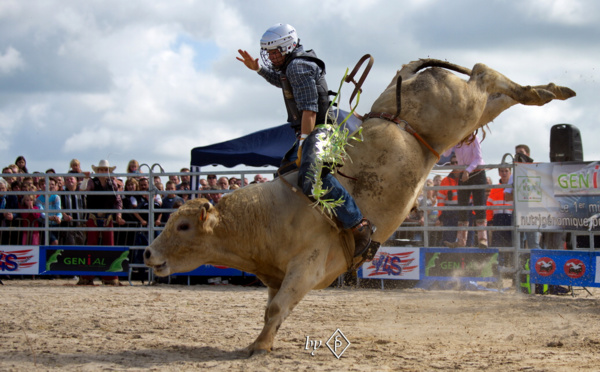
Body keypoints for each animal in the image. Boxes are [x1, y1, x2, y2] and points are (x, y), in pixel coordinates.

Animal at [143, 58, 576, 354]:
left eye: (183, 227)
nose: (147, 253)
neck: (264, 217)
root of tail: (407, 77)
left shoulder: (308, 266)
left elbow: (277, 308)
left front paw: (258, 348)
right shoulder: (277, 276)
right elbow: (274, 310)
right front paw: (262, 341)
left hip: (461, 106)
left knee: (485, 74)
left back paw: (549, 91)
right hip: (462, 117)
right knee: (494, 90)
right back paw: (546, 91)